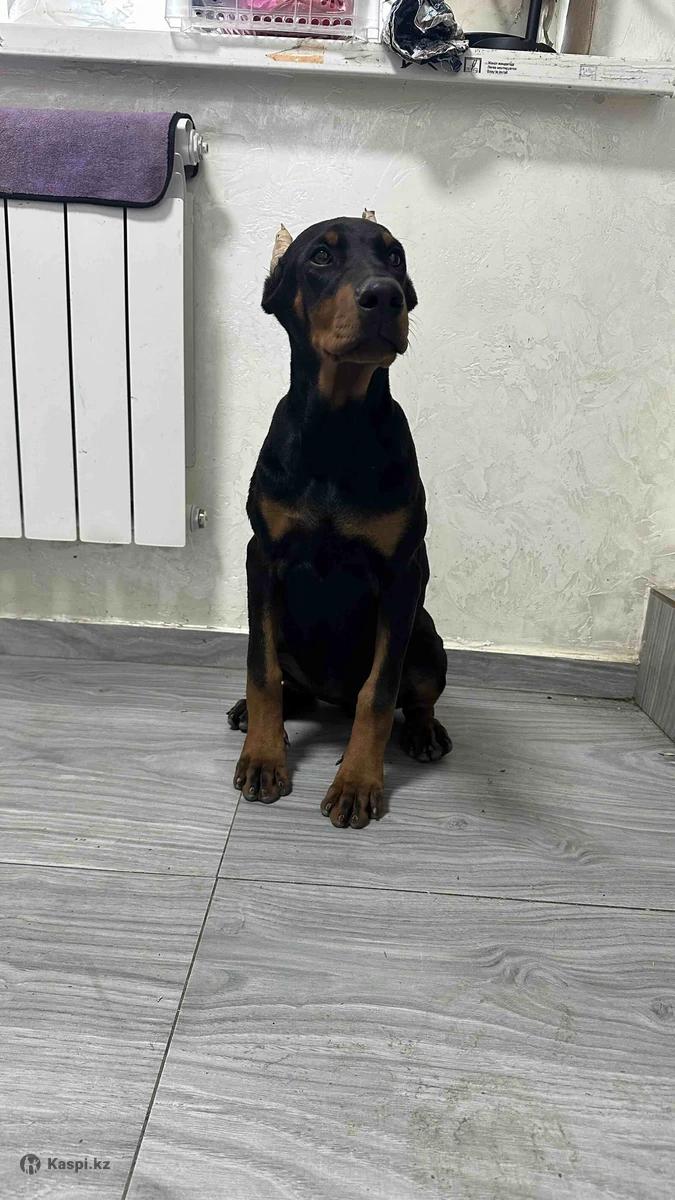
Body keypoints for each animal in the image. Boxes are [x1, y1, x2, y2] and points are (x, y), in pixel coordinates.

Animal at [227, 212, 451, 830]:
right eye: (321, 257)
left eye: (395, 256)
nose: (385, 296)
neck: (336, 425)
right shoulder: (264, 557)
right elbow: (260, 669)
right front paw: (263, 759)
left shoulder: (403, 573)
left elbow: (380, 691)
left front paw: (356, 783)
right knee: (283, 678)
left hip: (425, 637)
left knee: (412, 695)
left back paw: (425, 733)